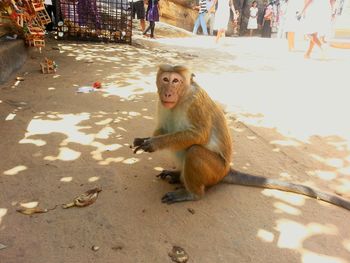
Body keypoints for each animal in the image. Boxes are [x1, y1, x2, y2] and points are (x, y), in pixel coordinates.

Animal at [132, 65, 350, 211]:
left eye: (175, 81)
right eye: (165, 80)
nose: (168, 92)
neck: (182, 96)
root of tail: (227, 170)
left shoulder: (195, 101)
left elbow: (199, 135)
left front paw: (154, 143)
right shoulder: (161, 103)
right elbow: (163, 128)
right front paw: (145, 140)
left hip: (215, 170)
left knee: (194, 151)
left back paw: (192, 193)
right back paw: (179, 175)